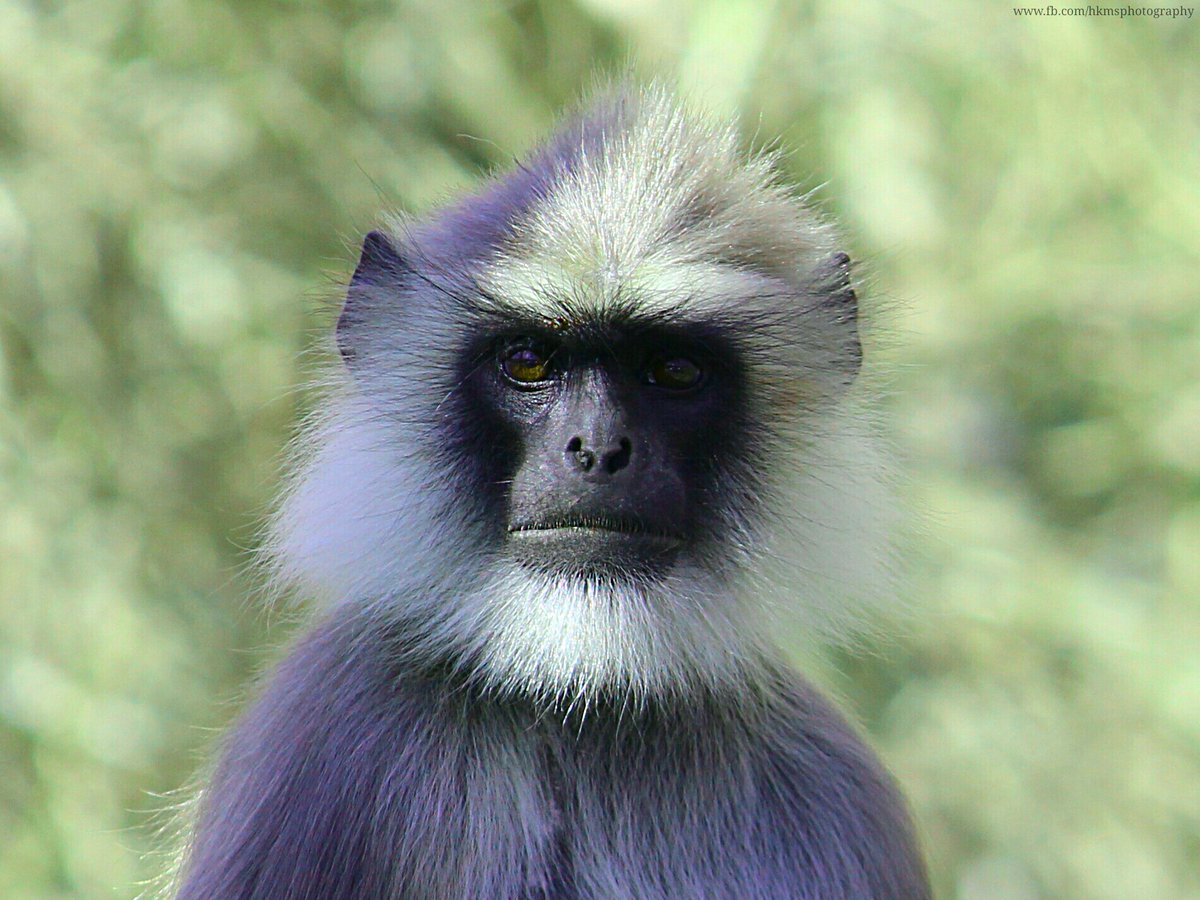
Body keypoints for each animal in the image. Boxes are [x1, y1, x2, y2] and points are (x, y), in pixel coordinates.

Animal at [172, 84, 931, 899]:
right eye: (529, 361)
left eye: (675, 370)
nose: (598, 450)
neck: (578, 703)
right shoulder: (322, 734)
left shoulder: (835, 792)